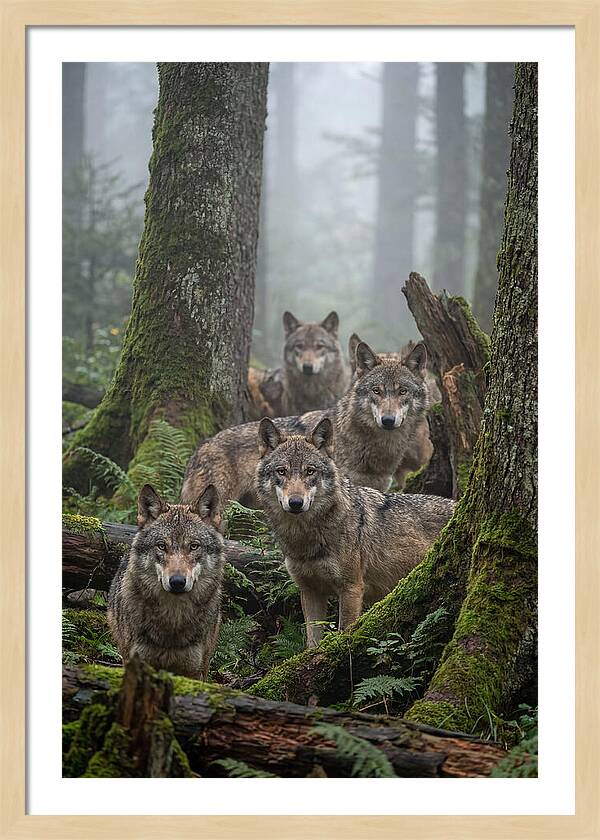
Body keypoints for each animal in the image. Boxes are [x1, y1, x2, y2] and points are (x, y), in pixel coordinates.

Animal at [256, 416, 455, 646]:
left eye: (310, 471)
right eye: (282, 471)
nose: (296, 503)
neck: (305, 538)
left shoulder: (351, 589)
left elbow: (345, 632)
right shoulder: (310, 591)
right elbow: (312, 642)